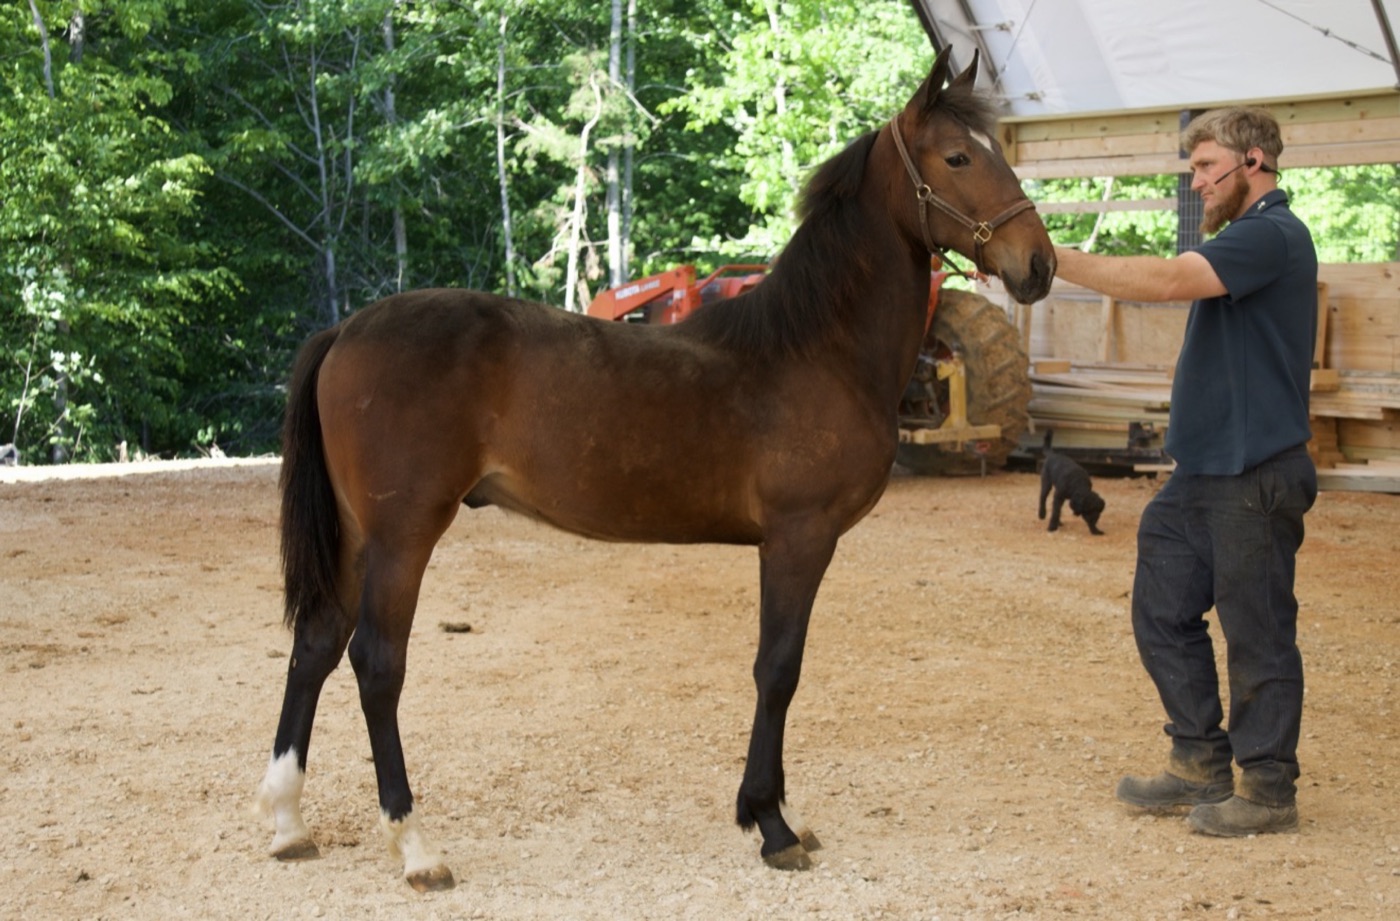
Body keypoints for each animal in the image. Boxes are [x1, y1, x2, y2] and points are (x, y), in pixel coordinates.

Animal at [256, 50, 1055, 892]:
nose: (1039, 263)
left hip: (356, 534)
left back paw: (288, 820)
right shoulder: (798, 538)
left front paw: (773, 812)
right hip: (403, 533)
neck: (813, 347)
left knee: (315, 643)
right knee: (375, 662)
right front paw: (770, 822)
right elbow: (778, 668)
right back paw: (414, 843)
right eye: (958, 157)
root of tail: (345, 329)